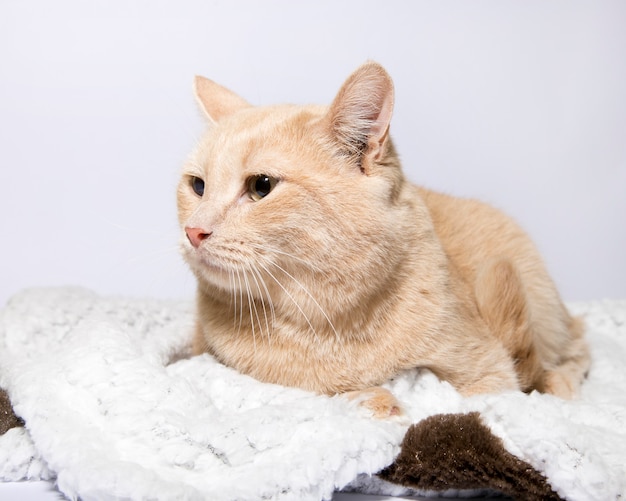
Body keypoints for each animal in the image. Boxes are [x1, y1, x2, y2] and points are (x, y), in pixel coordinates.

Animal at [177, 60, 588, 416]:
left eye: (261, 187)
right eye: (198, 186)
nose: (193, 231)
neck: (320, 326)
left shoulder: (492, 380)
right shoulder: (207, 360)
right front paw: (366, 396)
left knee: (578, 347)